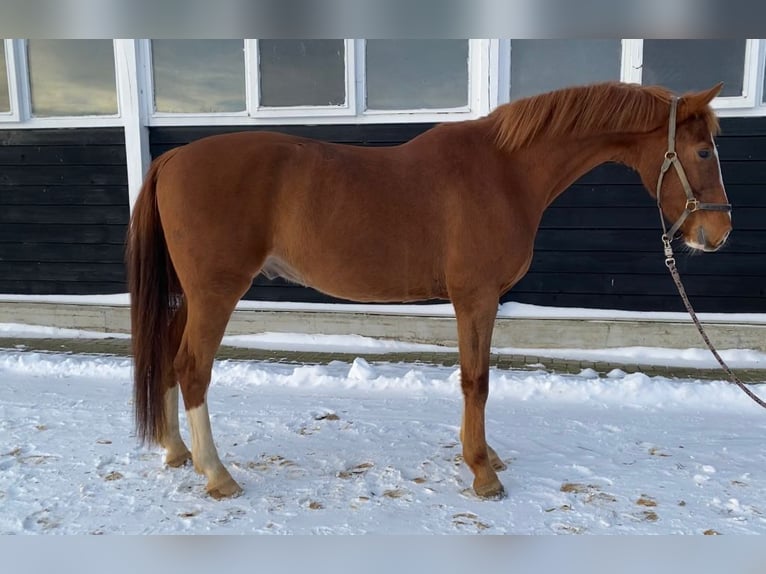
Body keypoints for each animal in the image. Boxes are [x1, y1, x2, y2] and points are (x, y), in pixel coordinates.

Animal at [126, 81, 732, 500]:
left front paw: (485, 456)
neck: (505, 171)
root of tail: (173, 158)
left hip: (192, 295)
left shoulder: (480, 301)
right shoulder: (475, 297)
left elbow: (476, 380)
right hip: (216, 292)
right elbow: (476, 381)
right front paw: (483, 473)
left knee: (169, 355)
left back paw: (177, 452)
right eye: (703, 152)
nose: (719, 232)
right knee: (193, 368)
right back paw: (217, 474)